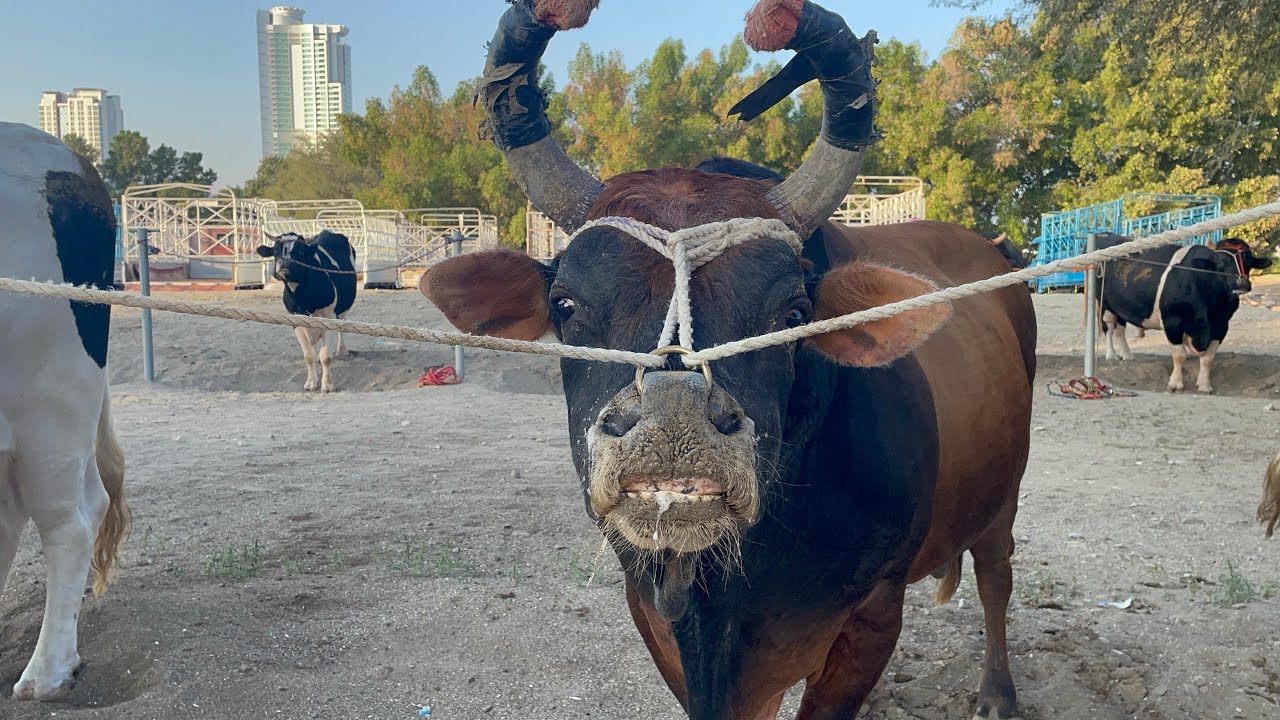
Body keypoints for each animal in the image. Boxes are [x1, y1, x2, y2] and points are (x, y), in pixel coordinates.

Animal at [255, 230, 357, 393]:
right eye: (276, 251)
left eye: (300, 251)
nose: (284, 262)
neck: (304, 297)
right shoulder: (296, 320)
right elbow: (309, 355)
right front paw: (311, 382)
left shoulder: (330, 316)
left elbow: (326, 357)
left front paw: (327, 385)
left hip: (343, 308)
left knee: (342, 325)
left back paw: (341, 350)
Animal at [420, 2, 1036, 718]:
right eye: (566, 304)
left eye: (794, 313)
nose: (674, 419)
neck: (725, 592)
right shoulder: (657, 621)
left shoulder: (874, 617)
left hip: (1005, 494)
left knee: (996, 575)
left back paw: (997, 690)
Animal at [1095, 232, 1271, 393]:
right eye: (1221, 261)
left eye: (1249, 261)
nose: (1242, 283)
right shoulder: (1172, 321)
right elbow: (1179, 354)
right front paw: (1175, 384)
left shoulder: (1221, 326)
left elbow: (1208, 358)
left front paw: (1204, 385)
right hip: (1104, 302)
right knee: (1109, 327)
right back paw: (1111, 355)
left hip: (1119, 305)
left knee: (1120, 328)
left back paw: (1127, 356)